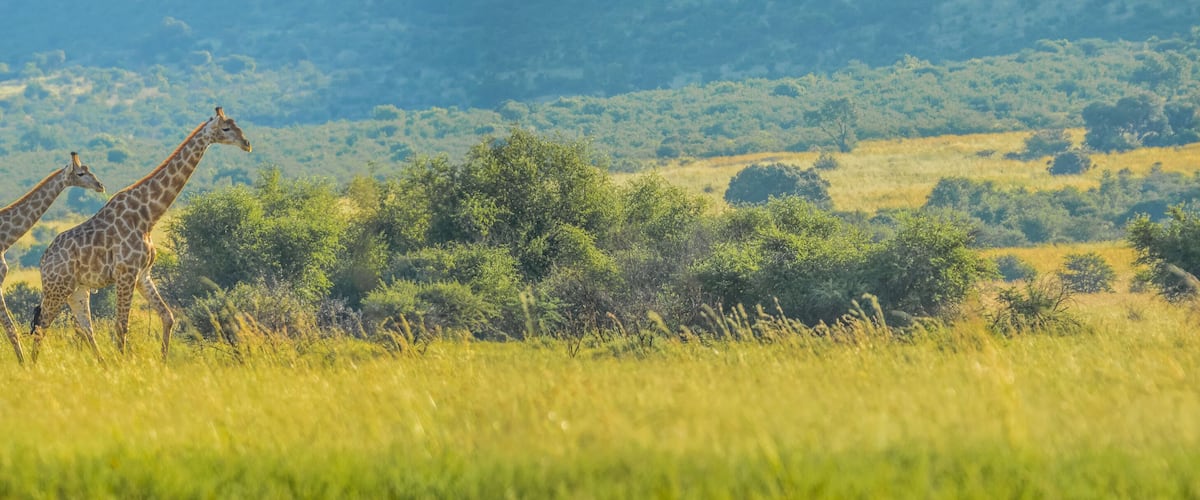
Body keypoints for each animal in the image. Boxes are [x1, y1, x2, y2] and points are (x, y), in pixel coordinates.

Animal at [31, 107, 251, 362]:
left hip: (77, 290)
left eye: (237, 125)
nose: (247, 144)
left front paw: (163, 362)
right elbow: (121, 325)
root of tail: (42, 262)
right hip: (57, 288)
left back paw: (101, 364)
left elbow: (168, 316)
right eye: (226, 128)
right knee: (41, 326)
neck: (147, 216)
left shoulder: (143, 274)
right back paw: (33, 366)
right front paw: (123, 364)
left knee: (84, 328)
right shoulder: (126, 273)